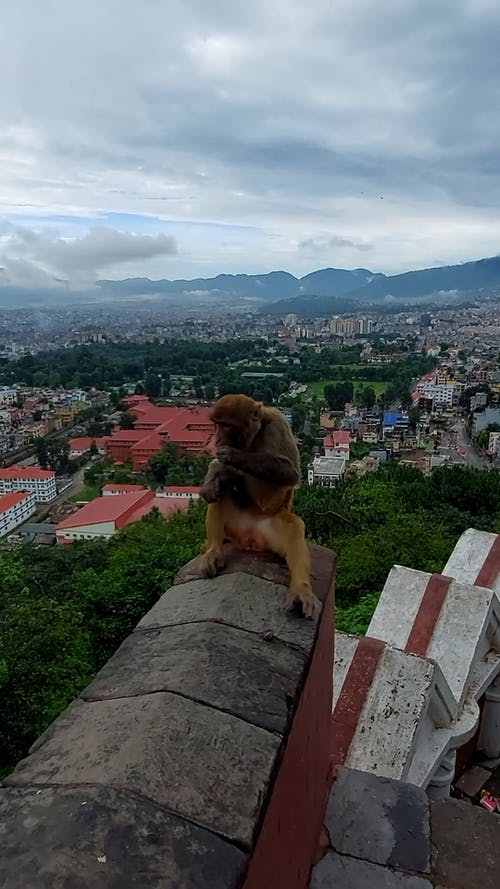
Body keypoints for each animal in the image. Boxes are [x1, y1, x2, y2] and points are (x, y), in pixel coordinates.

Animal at [199, 396, 320, 616]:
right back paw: (214, 551)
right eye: (216, 425)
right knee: (222, 492)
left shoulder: (278, 422)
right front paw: (213, 477)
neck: (253, 436)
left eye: (226, 426)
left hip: (271, 531)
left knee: (293, 526)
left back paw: (300, 589)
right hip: (236, 526)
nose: (217, 439)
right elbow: (218, 481)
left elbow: (291, 472)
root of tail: (251, 538)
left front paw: (232, 456)